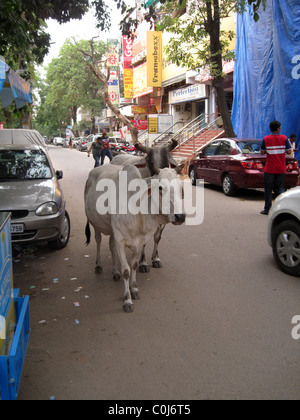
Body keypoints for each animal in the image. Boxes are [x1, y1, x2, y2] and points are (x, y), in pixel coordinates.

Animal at [84, 162, 185, 314]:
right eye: (160, 187)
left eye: (180, 187)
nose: (180, 216)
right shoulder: (120, 239)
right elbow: (126, 270)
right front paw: (127, 299)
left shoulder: (140, 241)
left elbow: (134, 265)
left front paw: (134, 289)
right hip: (95, 223)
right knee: (98, 241)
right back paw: (98, 265)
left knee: (111, 246)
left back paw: (115, 272)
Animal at [110, 140, 179, 272]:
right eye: (150, 161)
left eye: (167, 159)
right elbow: (143, 242)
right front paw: (143, 262)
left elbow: (157, 237)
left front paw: (156, 259)